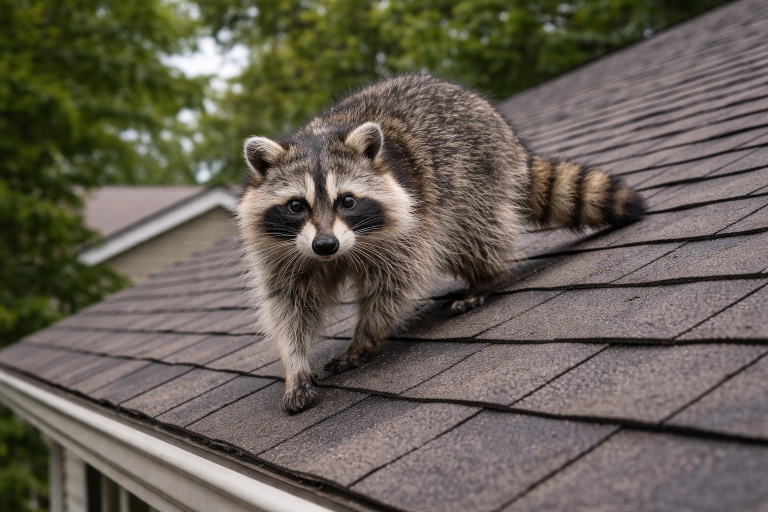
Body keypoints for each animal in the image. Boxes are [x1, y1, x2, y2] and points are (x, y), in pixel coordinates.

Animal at [237, 75, 645, 411]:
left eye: (347, 201)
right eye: (296, 206)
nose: (325, 245)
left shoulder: (408, 228)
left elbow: (394, 284)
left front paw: (364, 336)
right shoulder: (282, 252)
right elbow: (289, 304)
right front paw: (294, 364)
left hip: (474, 177)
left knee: (473, 233)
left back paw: (483, 277)